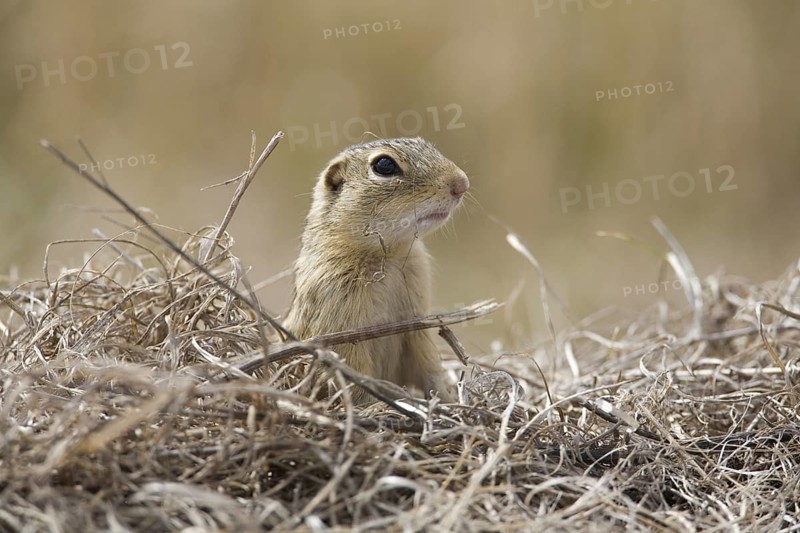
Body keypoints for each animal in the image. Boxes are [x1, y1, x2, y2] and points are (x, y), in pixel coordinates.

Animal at [283, 137, 469, 403]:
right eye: (384, 165)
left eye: (427, 144)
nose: (461, 183)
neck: (388, 257)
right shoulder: (343, 332)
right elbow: (357, 381)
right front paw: (379, 405)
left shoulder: (416, 326)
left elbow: (429, 365)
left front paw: (446, 398)